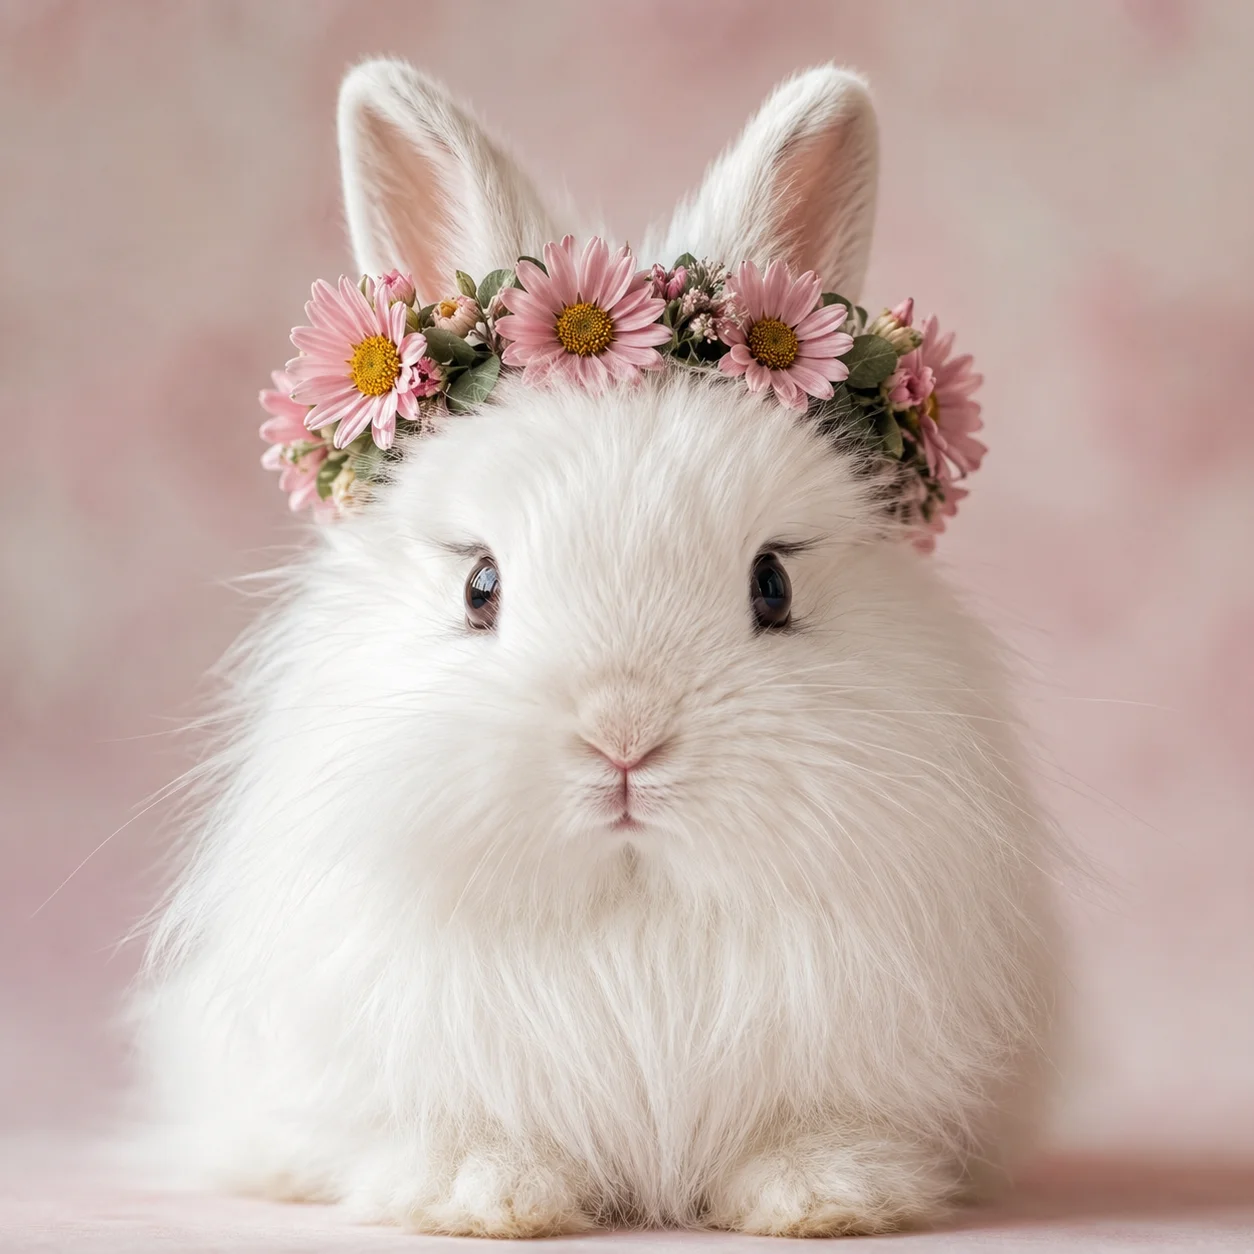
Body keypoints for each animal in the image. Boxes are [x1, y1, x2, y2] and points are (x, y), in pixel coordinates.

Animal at [132, 60, 1057, 1238]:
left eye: (773, 583)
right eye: (480, 587)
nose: (624, 741)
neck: (631, 905)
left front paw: (824, 1195)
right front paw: (480, 1194)